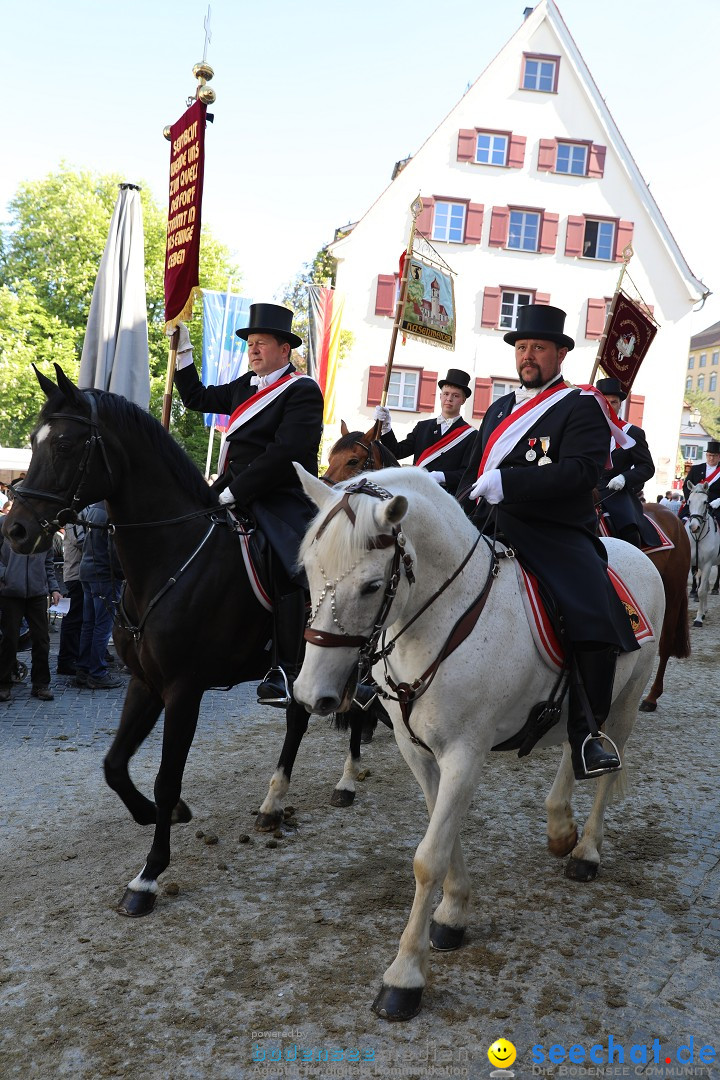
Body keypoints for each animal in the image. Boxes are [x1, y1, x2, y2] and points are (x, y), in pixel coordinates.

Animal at [291, 466, 664, 1019]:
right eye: (309, 574)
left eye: (372, 586)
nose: (311, 695)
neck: (440, 620)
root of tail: (634, 551)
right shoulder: (419, 752)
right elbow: (442, 836)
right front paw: (451, 915)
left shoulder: (465, 754)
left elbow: (428, 857)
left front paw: (404, 977)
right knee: (574, 745)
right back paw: (560, 827)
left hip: (626, 701)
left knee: (606, 770)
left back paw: (585, 852)